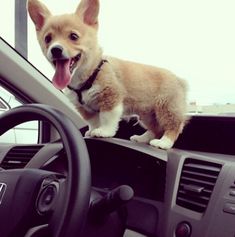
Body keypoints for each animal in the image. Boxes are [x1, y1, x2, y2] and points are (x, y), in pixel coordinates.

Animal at [27, 0, 188, 148]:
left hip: (166, 108)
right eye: (48, 39)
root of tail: (178, 79)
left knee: (174, 125)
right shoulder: (85, 109)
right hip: (147, 114)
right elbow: (92, 121)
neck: (88, 75)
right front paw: (92, 131)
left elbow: (106, 118)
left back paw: (164, 143)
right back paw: (142, 138)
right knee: (155, 129)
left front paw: (103, 132)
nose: (55, 49)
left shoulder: (111, 97)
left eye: (73, 36)